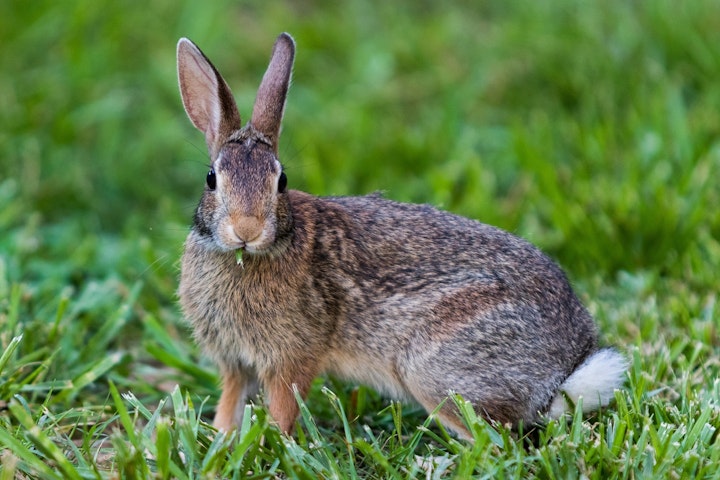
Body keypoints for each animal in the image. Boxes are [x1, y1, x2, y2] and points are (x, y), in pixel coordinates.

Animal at [174, 32, 624, 438]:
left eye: (280, 181)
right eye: (211, 179)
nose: (246, 230)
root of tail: (565, 370)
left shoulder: (291, 358)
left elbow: (284, 407)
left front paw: (273, 442)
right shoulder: (235, 363)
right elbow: (231, 402)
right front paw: (222, 439)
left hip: (431, 371)